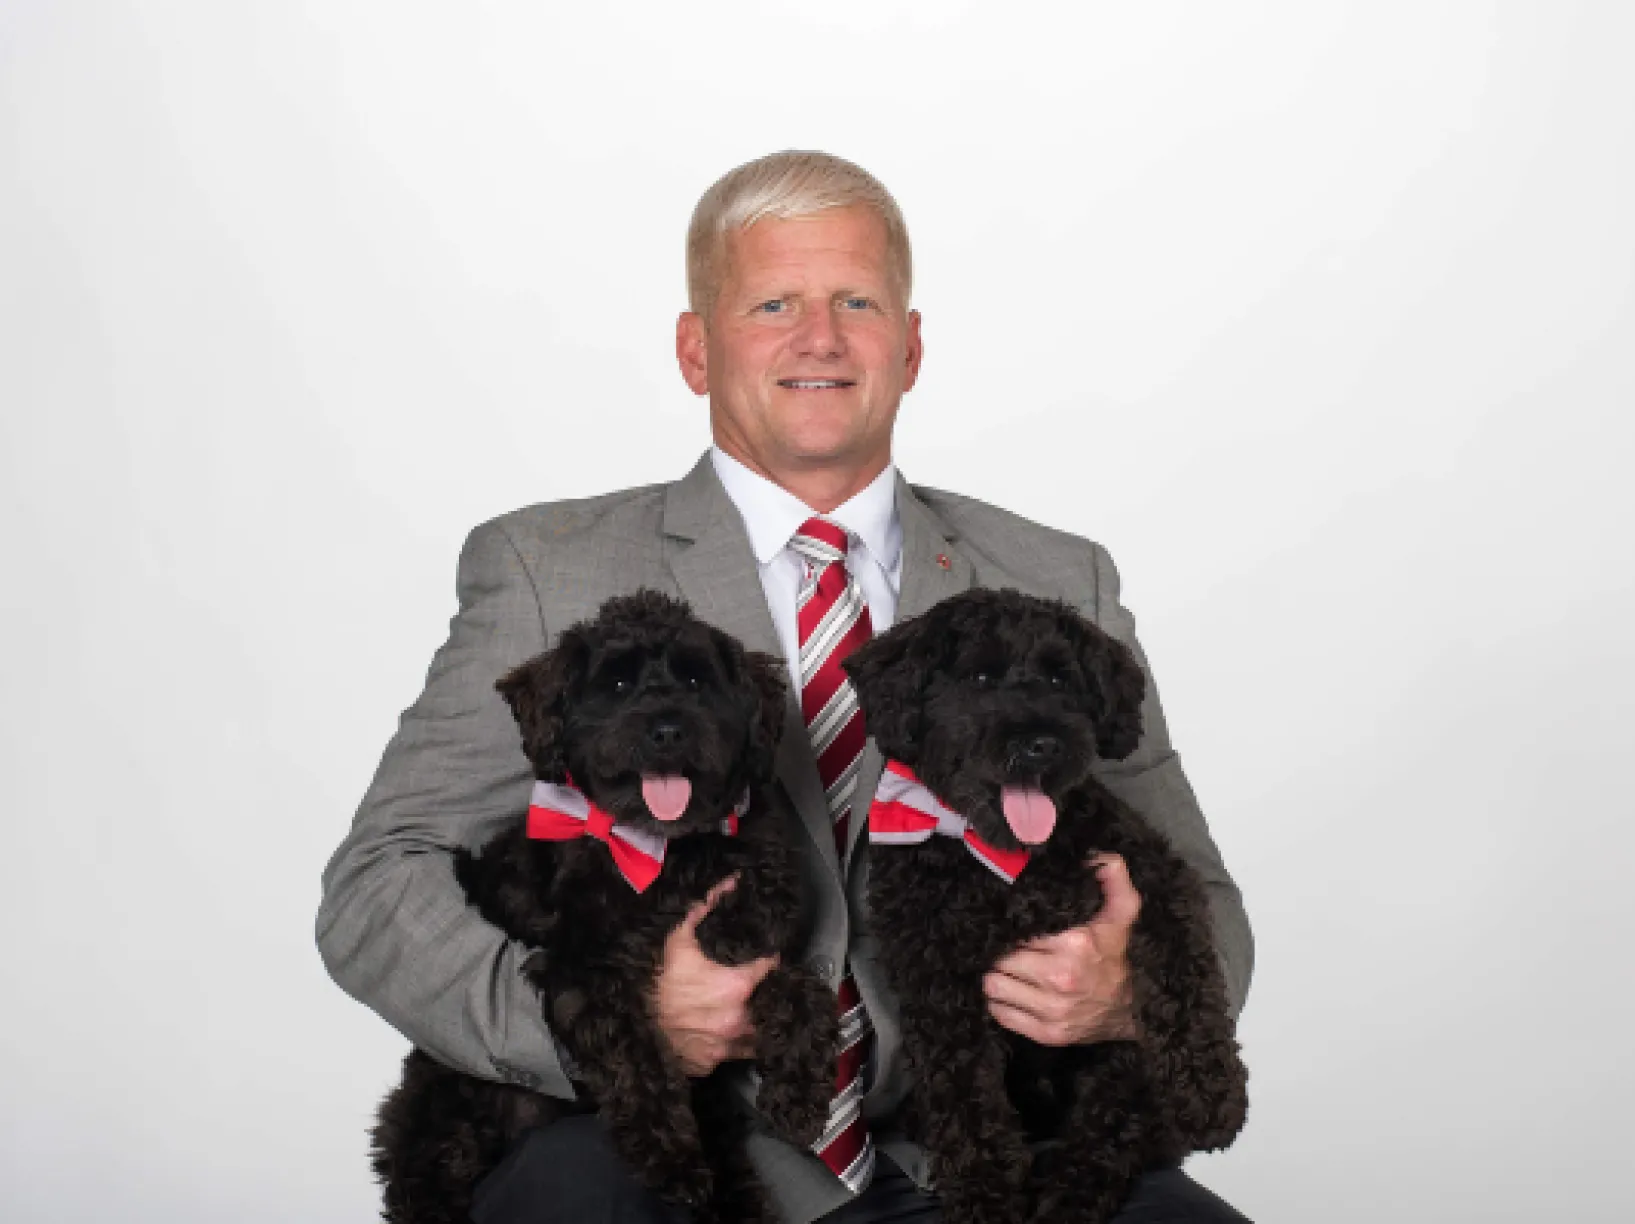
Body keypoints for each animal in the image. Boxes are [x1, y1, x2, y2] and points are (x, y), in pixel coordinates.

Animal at [372, 591, 843, 1222]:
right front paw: (669, 1160)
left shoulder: (756, 956)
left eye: (696, 680)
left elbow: (804, 991)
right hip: (436, 1123)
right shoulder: (583, 974)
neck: (667, 850)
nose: (667, 730)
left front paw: (800, 1095)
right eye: (616, 684)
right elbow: (634, 1058)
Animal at [843, 588, 1249, 1215]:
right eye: (980, 676)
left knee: (1112, 1129)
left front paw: (1210, 1091)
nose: (1043, 744)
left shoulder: (1159, 879)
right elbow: (966, 1098)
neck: (1004, 861)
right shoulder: (936, 981)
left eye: (1062, 680)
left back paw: (1072, 1193)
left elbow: (1185, 975)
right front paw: (986, 1196)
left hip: (1119, 1058)